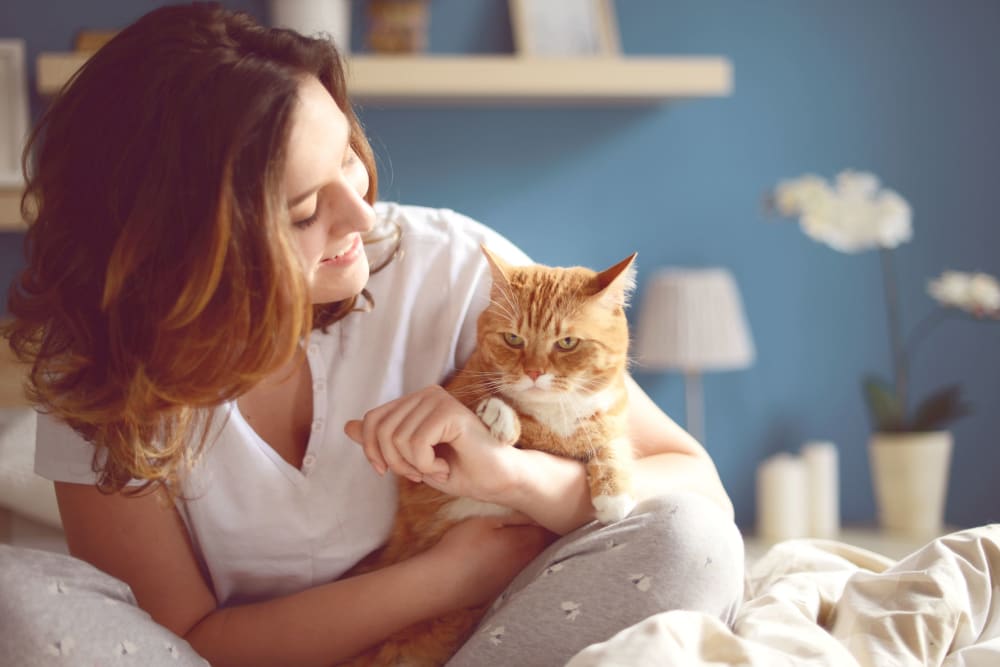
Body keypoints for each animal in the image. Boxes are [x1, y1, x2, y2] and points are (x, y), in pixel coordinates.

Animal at [344, 247, 636, 667]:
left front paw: (614, 495)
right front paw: (500, 415)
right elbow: (486, 408)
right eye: (513, 339)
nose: (534, 372)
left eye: (567, 343)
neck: (553, 418)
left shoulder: (610, 417)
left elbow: (613, 445)